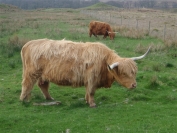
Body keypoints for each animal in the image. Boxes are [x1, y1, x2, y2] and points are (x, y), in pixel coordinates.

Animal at [20, 38, 151, 107]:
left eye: (134, 72)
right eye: (123, 73)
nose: (134, 85)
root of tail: (28, 44)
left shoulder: (89, 79)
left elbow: (88, 91)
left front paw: (87, 100)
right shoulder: (92, 78)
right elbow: (91, 91)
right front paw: (92, 104)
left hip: (43, 74)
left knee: (42, 85)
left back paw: (49, 98)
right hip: (31, 72)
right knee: (27, 85)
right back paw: (24, 99)